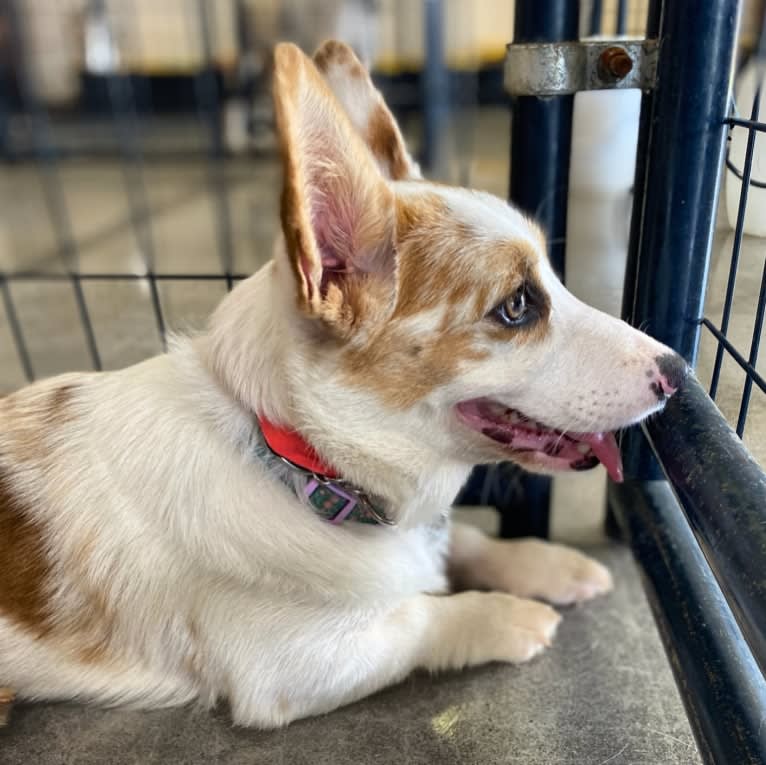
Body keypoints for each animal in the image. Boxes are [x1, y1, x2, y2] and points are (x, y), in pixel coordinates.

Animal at [0, 41, 688, 728]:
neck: (288, 459)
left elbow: (465, 537)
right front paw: (511, 616)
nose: (681, 374)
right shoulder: (293, 663)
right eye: (517, 305)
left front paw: (547, 563)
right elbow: (423, 616)